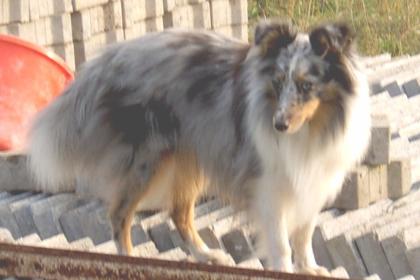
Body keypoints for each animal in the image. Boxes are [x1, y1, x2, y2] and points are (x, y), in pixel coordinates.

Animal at [27, 20, 370, 274]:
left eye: (306, 85)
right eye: (277, 82)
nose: (279, 125)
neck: (313, 127)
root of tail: (105, 60)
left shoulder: (315, 177)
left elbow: (304, 232)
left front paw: (311, 268)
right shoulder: (268, 187)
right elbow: (281, 242)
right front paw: (285, 269)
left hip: (189, 158)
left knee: (178, 213)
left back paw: (206, 255)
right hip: (146, 162)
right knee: (120, 215)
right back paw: (128, 260)